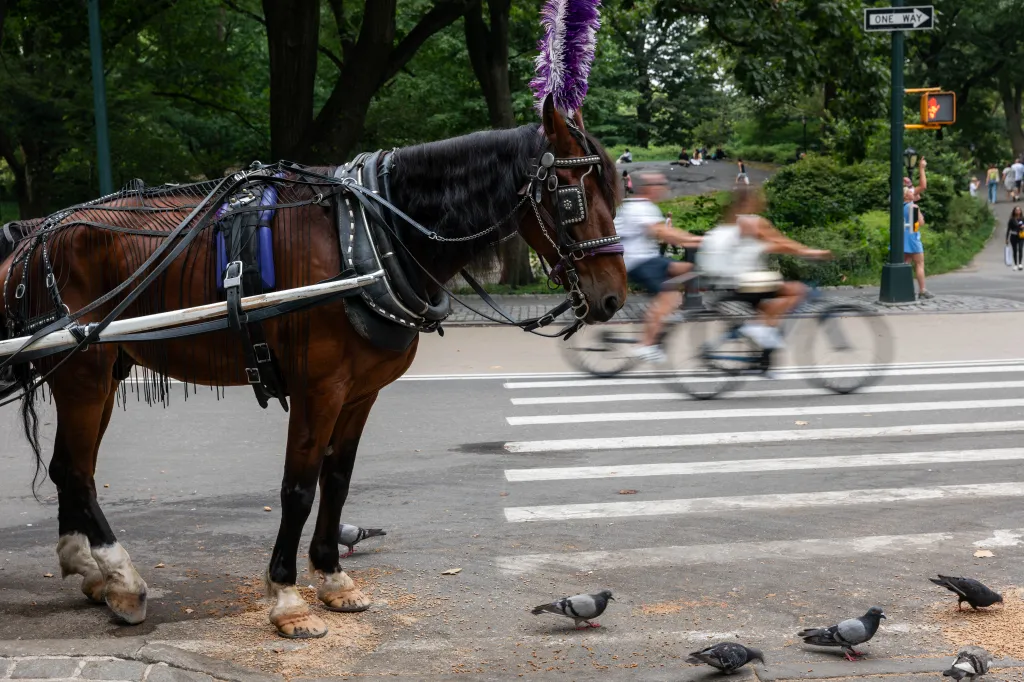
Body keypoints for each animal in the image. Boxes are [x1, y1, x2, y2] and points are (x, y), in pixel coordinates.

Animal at [0, 98, 627, 638]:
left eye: (614, 189)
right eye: (569, 195)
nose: (613, 298)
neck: (369, 235)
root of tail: (34, 235)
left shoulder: (361, 391)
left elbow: (339, 477)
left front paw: (331, 576)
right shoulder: (317, 390)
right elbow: (298, 488)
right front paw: (286, 597)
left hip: (101, 375)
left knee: (67, 469)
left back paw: (91, 571)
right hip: (83, 374)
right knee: (78, 472)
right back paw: (123, 579)